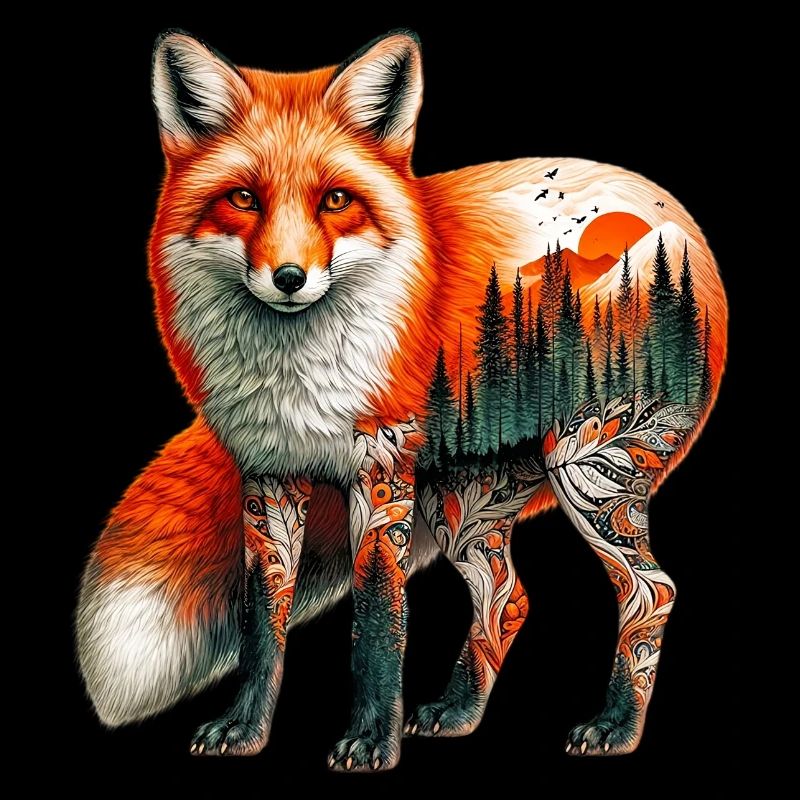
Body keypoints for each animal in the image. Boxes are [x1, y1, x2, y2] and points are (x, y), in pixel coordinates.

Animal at [76, 29, 727, 771]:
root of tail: (675, 219)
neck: (294, 376)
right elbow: (262, 622)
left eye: (335, 200)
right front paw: (244, 730)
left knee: (653, 592)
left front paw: (369, 741)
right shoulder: (269, 477)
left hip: (587, 473)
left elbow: (380, 620)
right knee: (508, 599)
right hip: (462, 505)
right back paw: (459, 712)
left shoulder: (379, 474)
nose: (290, 278)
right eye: (243, 198)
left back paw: (616, 725)